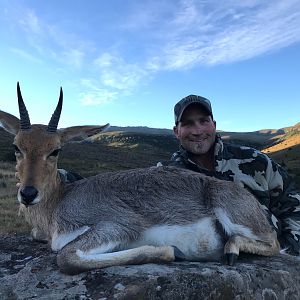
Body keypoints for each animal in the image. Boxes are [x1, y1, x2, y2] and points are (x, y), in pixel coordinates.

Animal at [0, 83, 280, 276]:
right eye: (16, 147)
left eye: (55, 150)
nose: (28, 193)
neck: (60, 200)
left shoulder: (118, 225)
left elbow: (66, 258)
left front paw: (173, 251)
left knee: (273, 243)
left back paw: (230, 251)